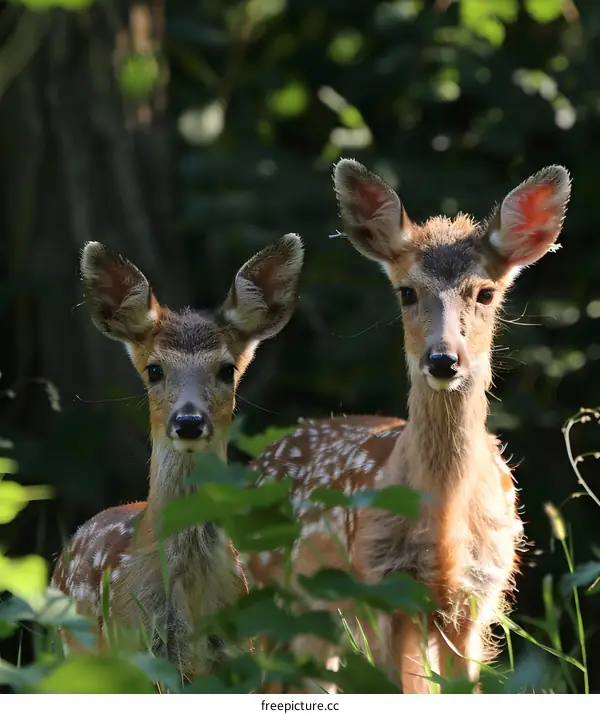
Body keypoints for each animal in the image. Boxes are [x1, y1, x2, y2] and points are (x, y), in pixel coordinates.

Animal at [248, 159, 571, 693]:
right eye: (407, 292)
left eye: (485, 293)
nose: (443, 360)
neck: (444, 522)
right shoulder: (382, 587)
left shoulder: (476, 595)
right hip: (269, 589)